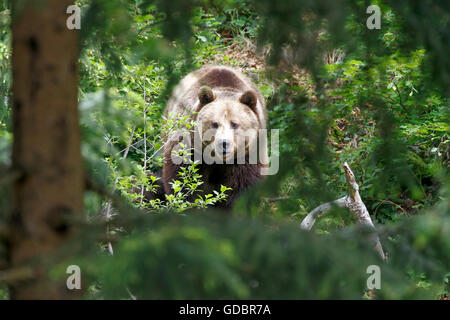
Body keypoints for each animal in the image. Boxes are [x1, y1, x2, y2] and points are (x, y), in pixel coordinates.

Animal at [162, 65, 268, 210]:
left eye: (234, 124)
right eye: (214, 124)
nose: (223, 143)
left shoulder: (249, 153)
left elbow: (242, 186)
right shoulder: (189, 144)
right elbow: (183, 177)